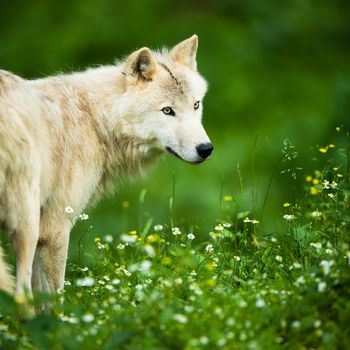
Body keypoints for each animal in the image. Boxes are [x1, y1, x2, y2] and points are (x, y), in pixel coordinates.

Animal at [0, 35, 212, 300]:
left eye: (196, 105)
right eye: (167, 110)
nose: (206, 149)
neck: (97, 120)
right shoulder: (55, 229)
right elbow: (53, 297)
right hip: (27, 226)